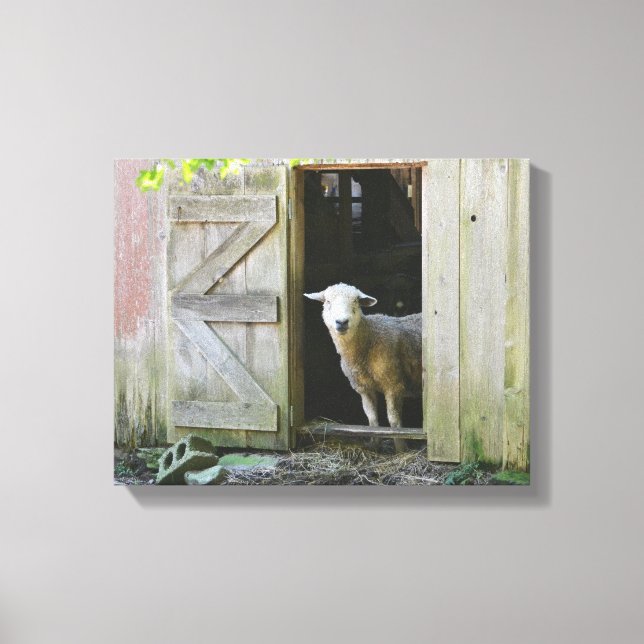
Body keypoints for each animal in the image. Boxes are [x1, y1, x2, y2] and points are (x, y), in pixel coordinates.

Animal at [304, 283, 422, 451]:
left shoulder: (394, 384)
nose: (342, 322)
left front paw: (401, 449)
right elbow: (372, 419)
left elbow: (394, 420)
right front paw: (374, 445)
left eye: (356, 301)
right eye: (327, 301)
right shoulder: (364, 388)